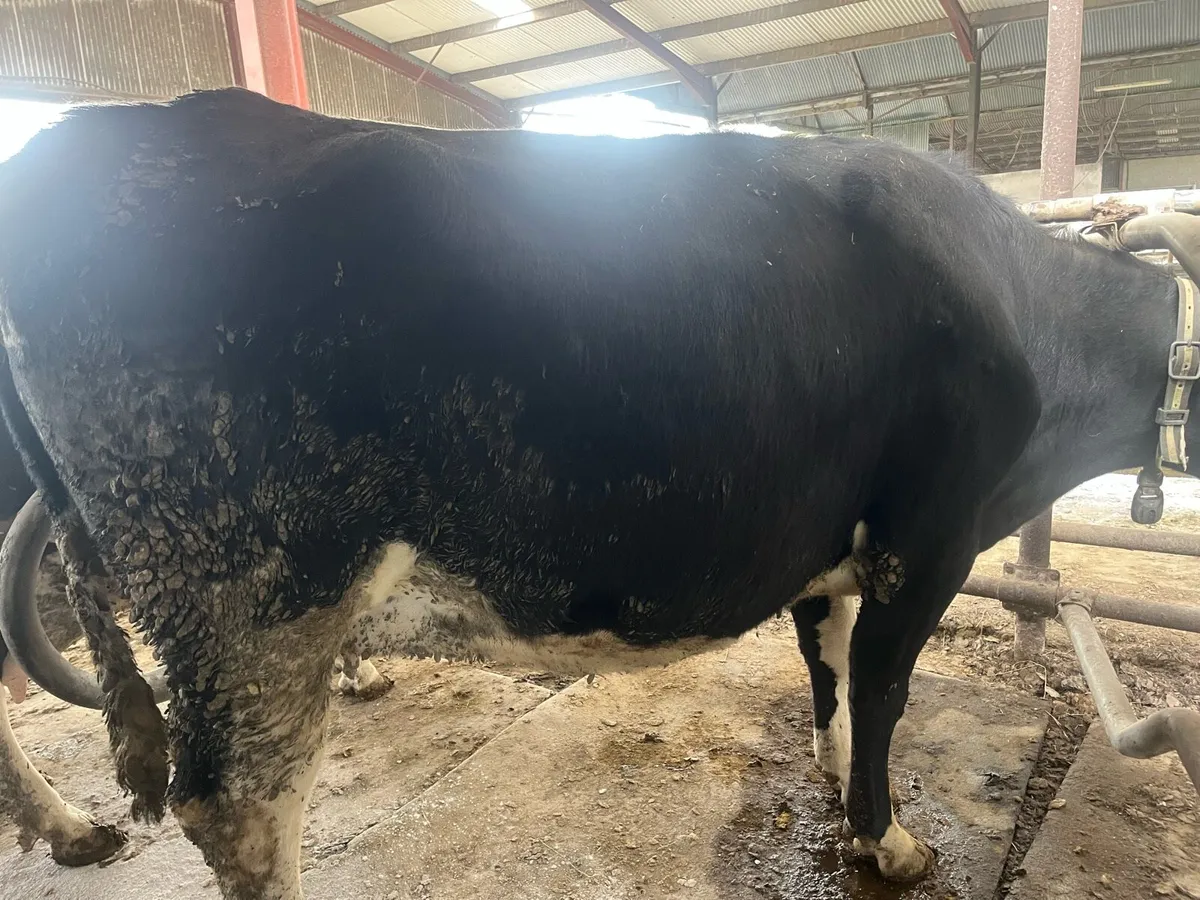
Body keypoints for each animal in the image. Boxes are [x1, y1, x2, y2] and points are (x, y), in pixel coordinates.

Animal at [0, 87, 1194, 900]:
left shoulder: (828, 538)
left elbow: (829, 663)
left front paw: (833, 765)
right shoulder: (931, 534)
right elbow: (886, 682)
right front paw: (885, 838)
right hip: (249, 589)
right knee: (241, 809)